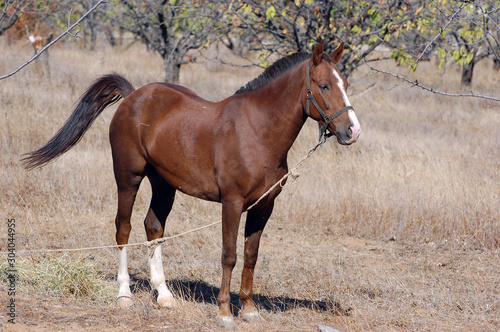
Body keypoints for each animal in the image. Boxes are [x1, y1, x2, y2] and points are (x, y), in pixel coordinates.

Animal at [23, 42, 360, 330]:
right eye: (324, 85)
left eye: (345, 83)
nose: (352, 131)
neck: (256, 131)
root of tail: (133, 96)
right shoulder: (232, 204)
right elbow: (229, 255)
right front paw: (225, 313)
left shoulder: (263, 206)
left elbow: (251, 256)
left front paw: (250, 310)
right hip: (128, 177)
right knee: (123, 228)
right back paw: (124, 295)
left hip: (164, 184)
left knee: (153, 227)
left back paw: (164, 296)